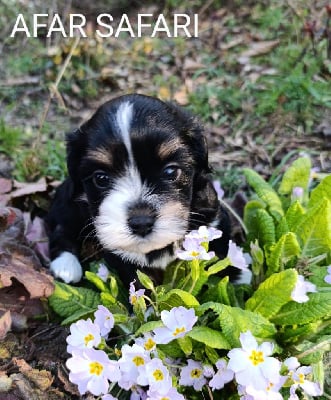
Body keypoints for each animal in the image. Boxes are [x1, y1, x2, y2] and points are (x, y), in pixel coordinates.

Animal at [46, 94, 232, 288]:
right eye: (101, 178)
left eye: (171, 172)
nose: (141, 222)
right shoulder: (122, 253)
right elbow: (139, 285)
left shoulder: (213, 220)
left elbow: (225, 254)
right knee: (61, 226)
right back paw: (66, 266)